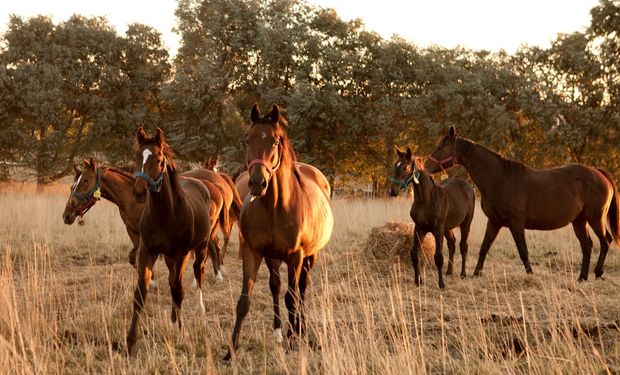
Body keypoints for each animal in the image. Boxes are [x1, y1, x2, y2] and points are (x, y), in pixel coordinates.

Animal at [124, 129, 214, 356]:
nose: (139, 192)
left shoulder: (180, 253)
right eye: (136, 156)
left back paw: (199, 313)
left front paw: (181, 333)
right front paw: (130, 342)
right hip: (168, 257)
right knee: (173, 279)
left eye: (158, 158)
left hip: (199, 249)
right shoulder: (147, 252)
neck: (164, 214)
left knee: (197, 273)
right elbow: (140, 294)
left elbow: (178, 291)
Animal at [220, 104, 332, 362]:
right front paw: (231, 350)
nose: (257, 183)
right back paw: (280, 332)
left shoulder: (295, 257)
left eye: (275, 141)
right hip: (272, 258)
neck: (275, 207)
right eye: (247, 140)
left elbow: (292, 298)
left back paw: (300, 331)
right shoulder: (253, 252)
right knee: (276, 286)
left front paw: (293, 342)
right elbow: (245, 300)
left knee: (301, 290)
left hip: (309, 257)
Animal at [390, 147, 472, 288]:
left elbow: (438, 257)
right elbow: (414, 254)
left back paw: (463, 274)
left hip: (466, 223)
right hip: (447, 228)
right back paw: (449, 272)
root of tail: (466, 185)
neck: (426, 200)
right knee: (452, 244)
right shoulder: (419, 229)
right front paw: (418, 281)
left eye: (405, 168)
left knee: (463, 246)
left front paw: (441, 284)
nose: (392, 191)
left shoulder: (437, 230)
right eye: (395, 165)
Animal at [426, 126, 620, 282]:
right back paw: (582, 277)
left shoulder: (516, 223)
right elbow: (484, 248)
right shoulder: (494, 222)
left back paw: (597, 272)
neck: (500, 179)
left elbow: (523, 251)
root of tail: (599, 173)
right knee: (587, 246)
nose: (426, 167)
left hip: (595, 218)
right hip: (579, 221)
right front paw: (475, 274)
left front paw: (530, 275)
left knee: (605, 241)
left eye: (440, 147)